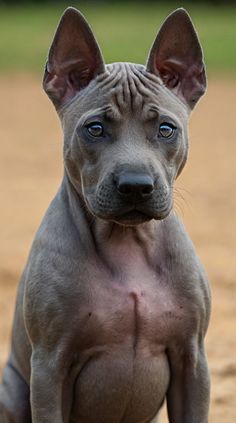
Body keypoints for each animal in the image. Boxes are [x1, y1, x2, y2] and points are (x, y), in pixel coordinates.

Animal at [0, 6, 210, 423]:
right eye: (94, 128)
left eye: (166, 129)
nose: (136, 185)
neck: (128, 244)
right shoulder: (50, 367)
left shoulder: (193, 361)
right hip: (12, 387)